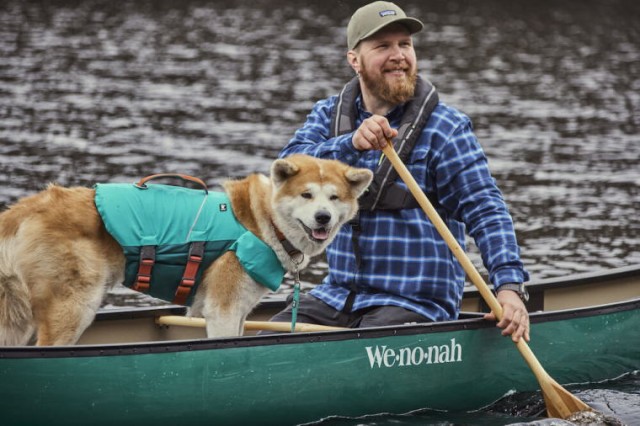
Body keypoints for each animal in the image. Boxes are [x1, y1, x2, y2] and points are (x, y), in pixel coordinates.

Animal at [0, 155, 372, 344]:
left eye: (334, 197)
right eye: (307, 195)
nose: (323, 217)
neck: (261, 220)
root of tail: (28, 208)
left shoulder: (238, 313)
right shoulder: (222, 311)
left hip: (16, 317)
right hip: (74, 308)